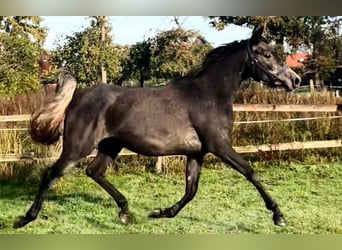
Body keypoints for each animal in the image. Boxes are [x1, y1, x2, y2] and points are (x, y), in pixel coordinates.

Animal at [13, 25, 300, 229]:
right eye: (266, 54)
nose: (295, 80)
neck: (209, 96)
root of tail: (78, 96)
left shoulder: (197, 152)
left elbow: (191, 191)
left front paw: (161, 212)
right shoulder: (220, 146)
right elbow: (251, 173)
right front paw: (278, 216)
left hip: (111, 145)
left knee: (95, 172)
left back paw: (125, 211)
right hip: (77, 147)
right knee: (51, 174)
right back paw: (25, 218)